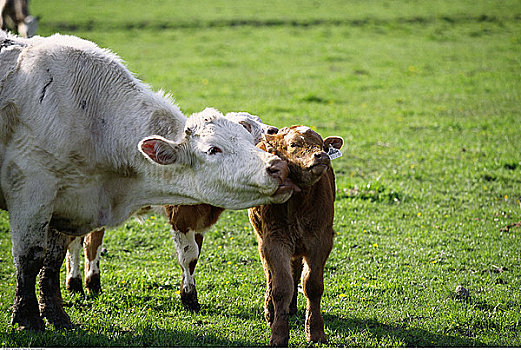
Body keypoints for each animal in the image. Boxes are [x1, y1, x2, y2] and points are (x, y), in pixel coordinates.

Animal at [0, 30, 294, 330]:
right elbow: (30, 257)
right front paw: (27, 318)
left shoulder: (67, 202)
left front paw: (56, 314)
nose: (278, 167)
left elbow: (53, 257)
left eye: (247, 135)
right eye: (213, 149)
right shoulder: (32, 193)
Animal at [247, 125, 344, 344]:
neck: (299, 203)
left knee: (296, 270)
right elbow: (281, 287)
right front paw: (278, 333)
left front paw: (315, 331)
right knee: (270, 275)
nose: (322, 156)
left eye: (323, 145)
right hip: (262, 240)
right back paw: (271, 312)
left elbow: (312, 285)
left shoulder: (321, 241)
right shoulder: (274, 242)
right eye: (293, 144)